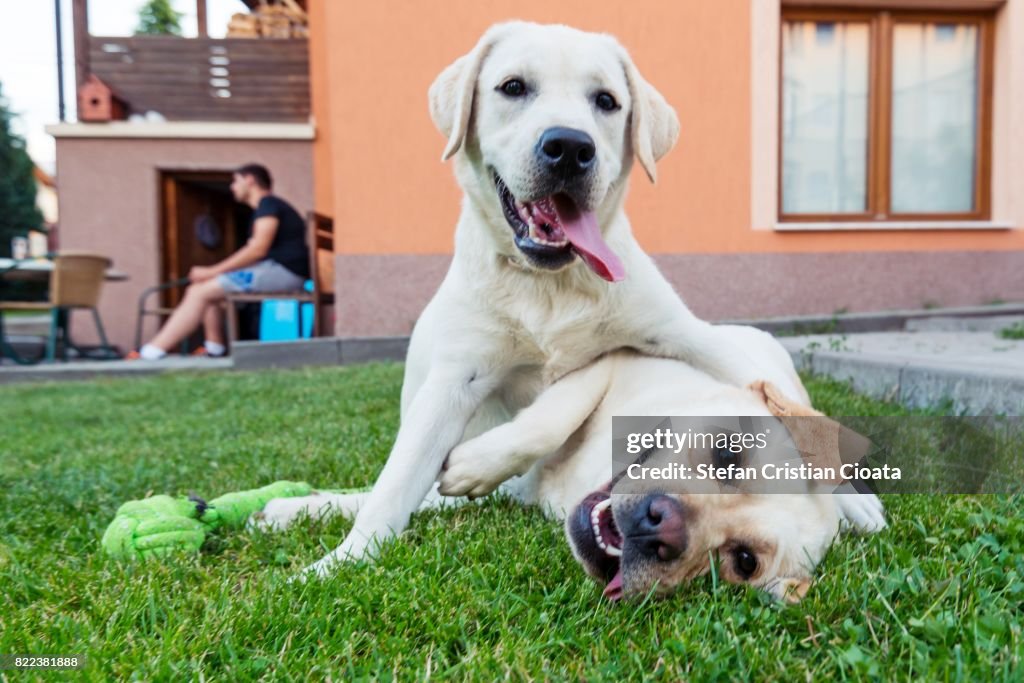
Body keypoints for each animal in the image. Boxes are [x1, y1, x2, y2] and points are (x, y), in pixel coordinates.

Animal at [296, 21, 806, 577]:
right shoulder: (455, 380)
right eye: (513, 87)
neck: (550, 285)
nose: (569, 146)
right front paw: (343, 560)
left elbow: (772, 388)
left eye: (606, 101)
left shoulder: (681, 333)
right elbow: (394, 484)